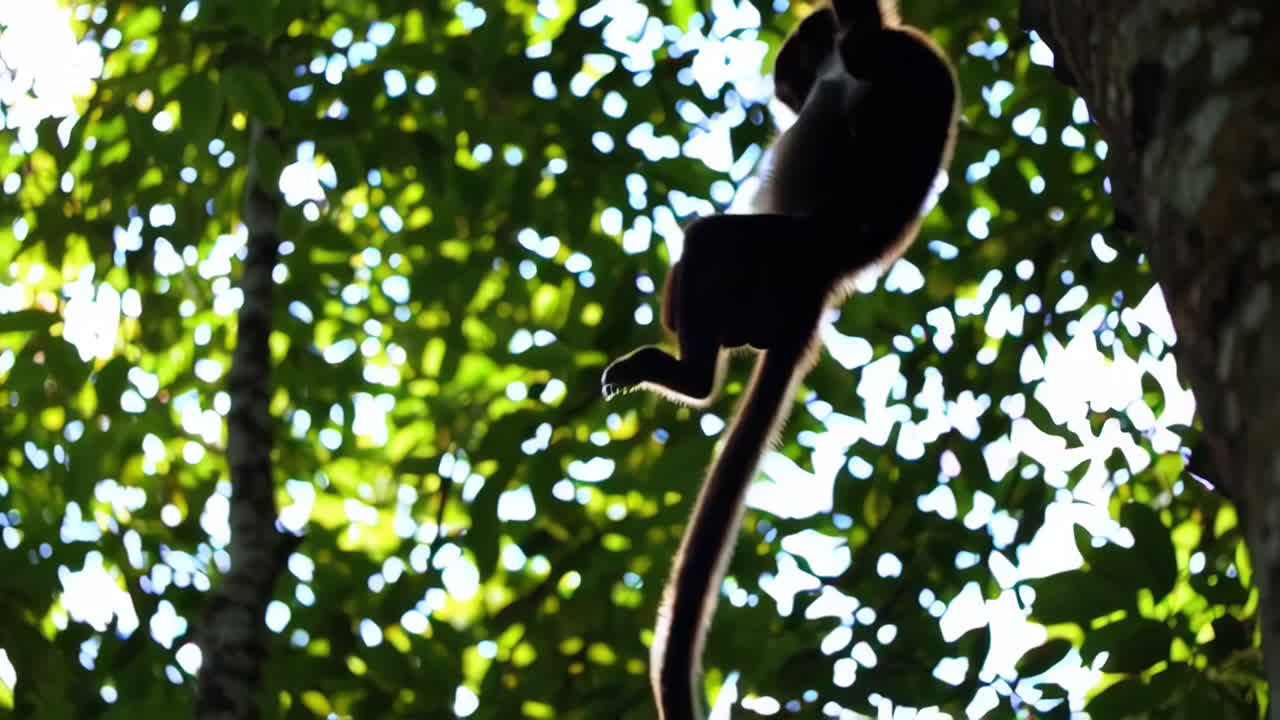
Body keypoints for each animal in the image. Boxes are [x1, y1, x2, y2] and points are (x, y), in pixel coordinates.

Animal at [600, 2, 959, 718]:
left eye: (789, 69)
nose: (784, 92)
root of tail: (818, 289)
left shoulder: (873, 51)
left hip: (773, 253)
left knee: (708, 238)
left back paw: (692, 377)